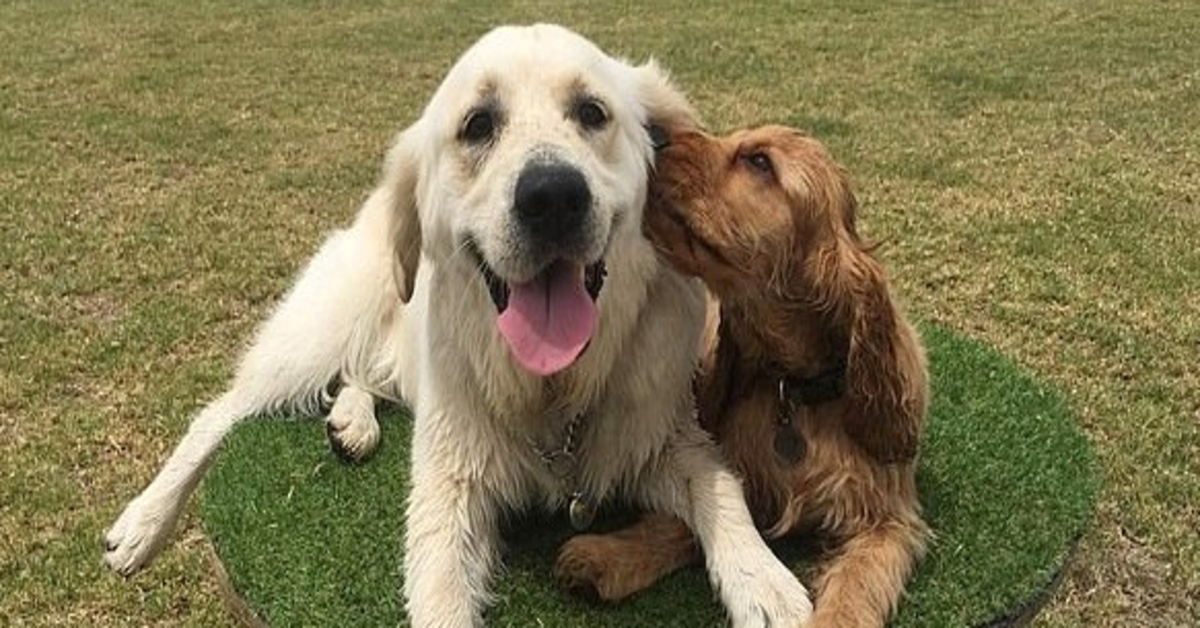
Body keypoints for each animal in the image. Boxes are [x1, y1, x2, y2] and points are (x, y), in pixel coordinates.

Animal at [103, 22, 816, 624]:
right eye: (478, 124)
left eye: (592, 113)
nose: (552, 196)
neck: (551, 392)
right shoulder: (448, 492)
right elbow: (439, 591)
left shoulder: (659, 439)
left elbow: (721, 487)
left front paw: (765, 583)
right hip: (319, 335)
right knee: (221, 411)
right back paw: (141, 525)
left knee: (365, 377)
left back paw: (352, 423)